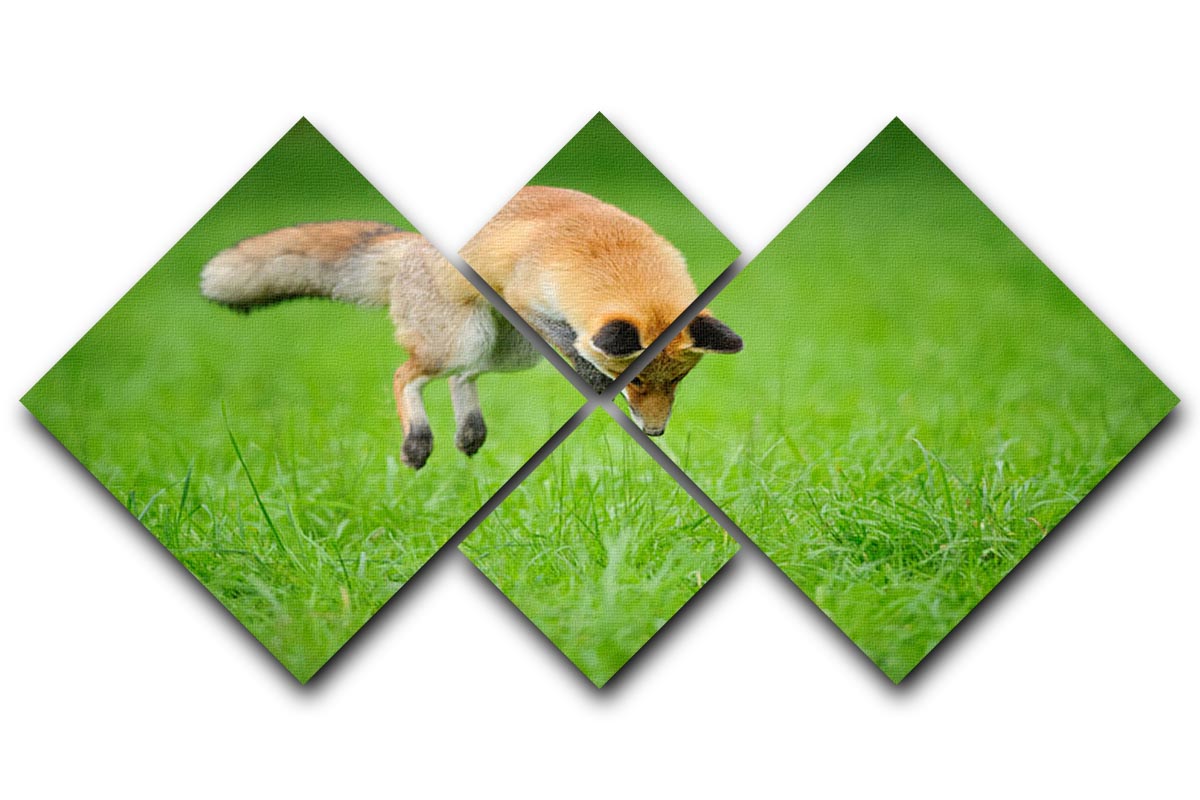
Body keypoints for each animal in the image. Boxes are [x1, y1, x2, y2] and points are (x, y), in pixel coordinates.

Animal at [200, 186, 742, 469]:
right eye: (637, 383)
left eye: (676, 383)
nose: (655, 433)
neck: (613, 255)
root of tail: (413, 243)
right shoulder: (528, 302)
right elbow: (574, 349)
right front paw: (592, 379)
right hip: (462, 340)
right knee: (405, 375)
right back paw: (418, 442)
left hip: (505, 352)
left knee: (462, 378)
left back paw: (469, 433)